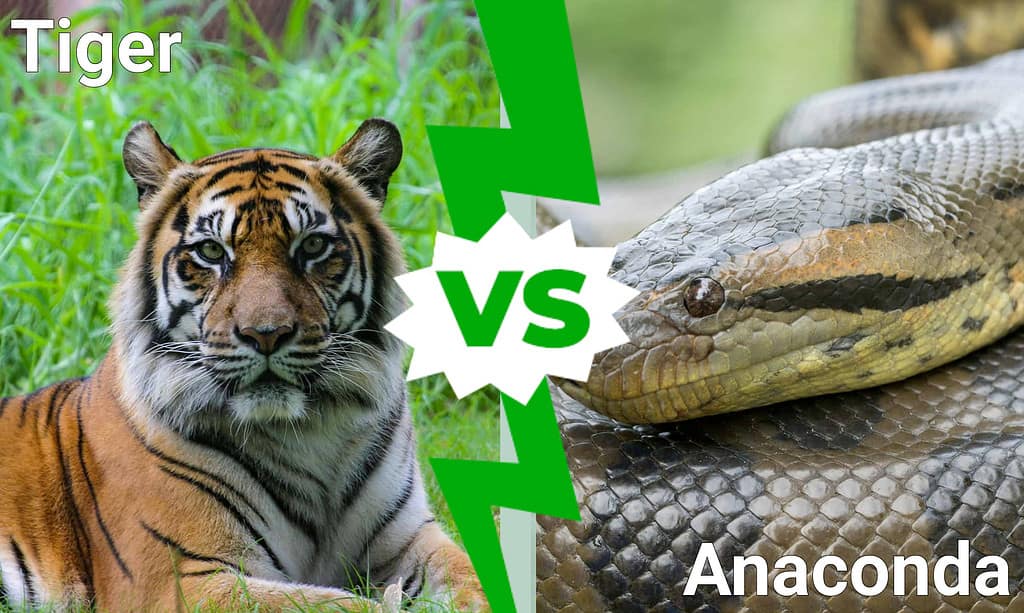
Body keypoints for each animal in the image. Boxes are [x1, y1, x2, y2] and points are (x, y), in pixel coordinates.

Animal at [0, 119, 487, 611]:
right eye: (212, 252)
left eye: (312, 245)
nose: (265, 333)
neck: (312, 432)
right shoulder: (178, 580)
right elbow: (338, 603)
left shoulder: (412, 539)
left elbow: (477, 579)